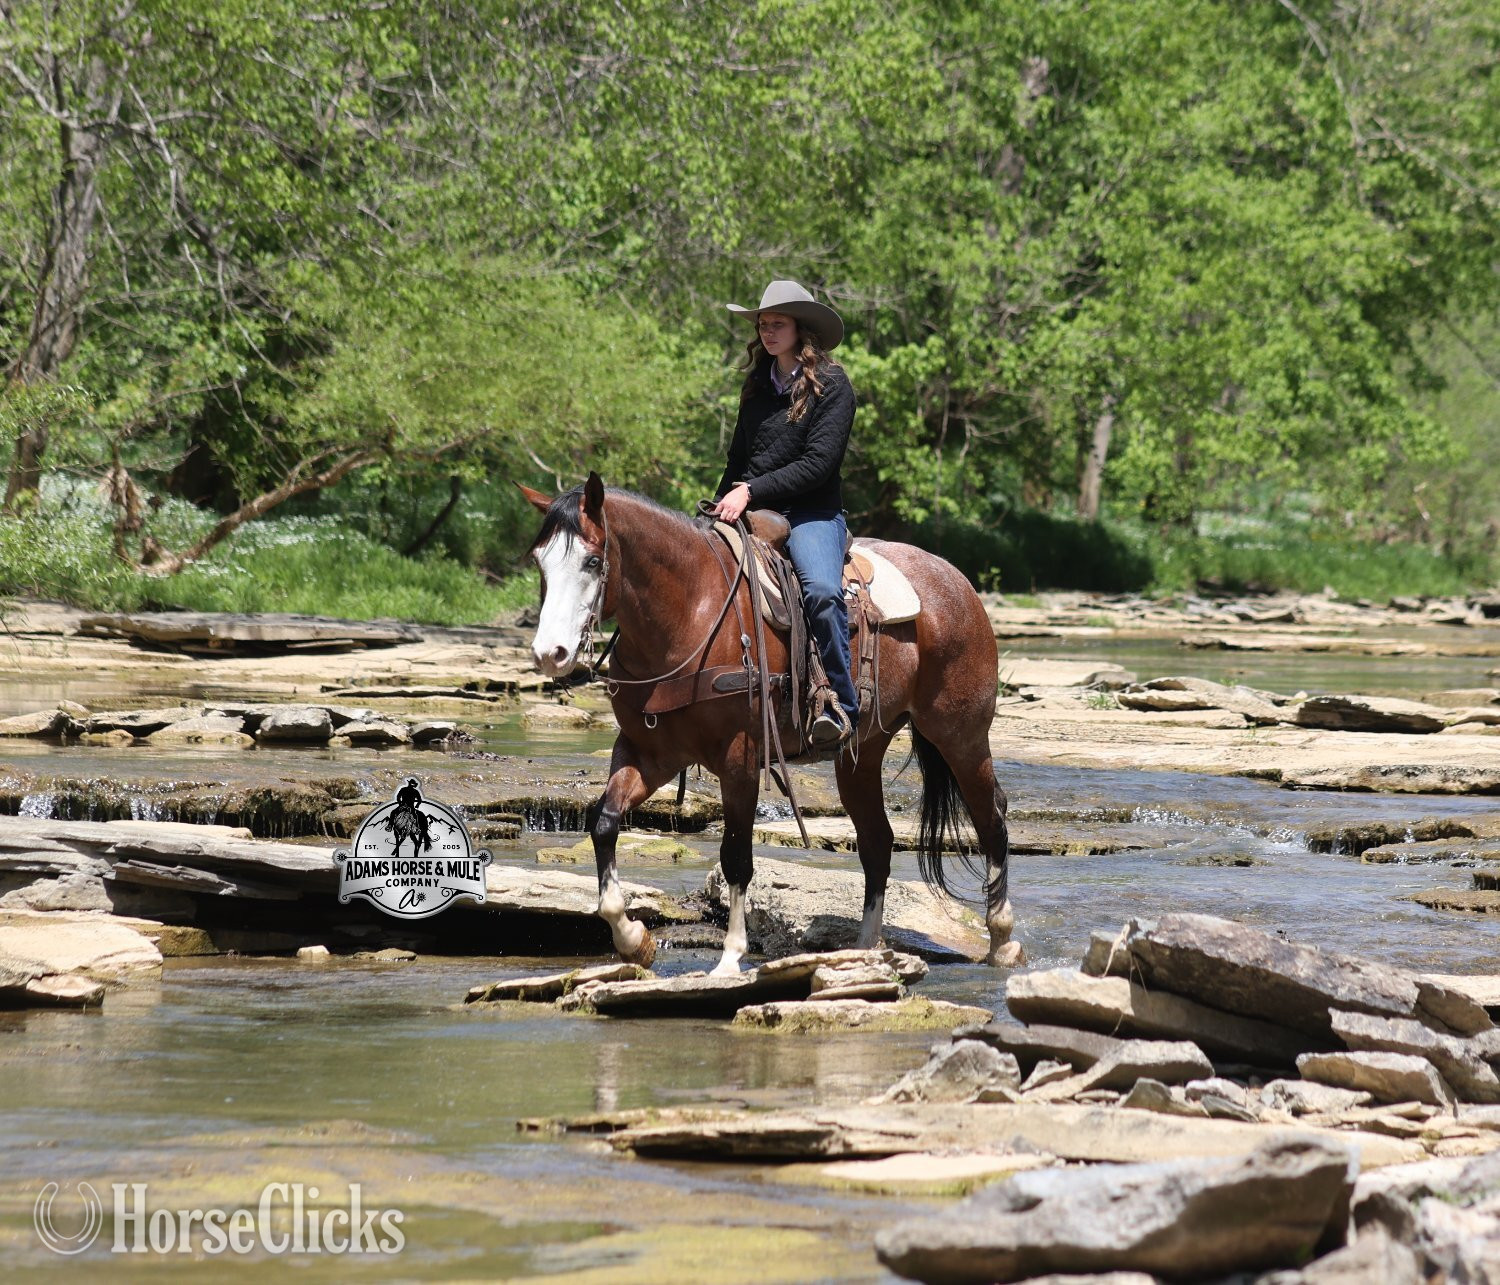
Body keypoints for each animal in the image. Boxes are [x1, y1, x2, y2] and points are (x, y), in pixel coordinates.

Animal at [521, 472, 1021, 974]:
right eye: (539, 561)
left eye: (592, 560)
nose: (550, 653)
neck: (690, 611)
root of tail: (957, 582)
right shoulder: (647, 752)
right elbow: (604, 822)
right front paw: (633, 940)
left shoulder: (738, 756)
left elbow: (736, 855)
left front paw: (730, 958)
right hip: (862, 752)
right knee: (877, 840)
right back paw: (865, 947)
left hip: (961, 735)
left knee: (990, 817)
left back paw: (1001, 939)